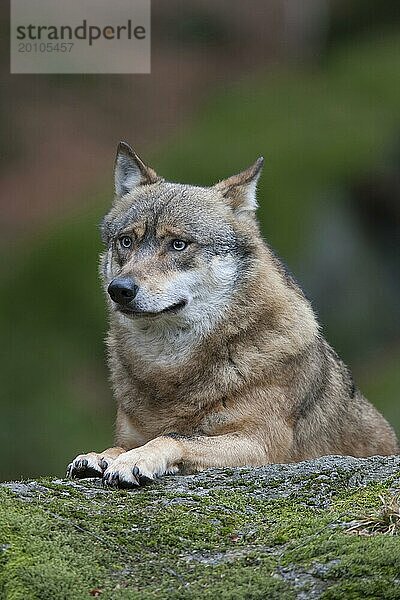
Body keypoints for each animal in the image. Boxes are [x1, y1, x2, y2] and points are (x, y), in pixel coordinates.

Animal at [66, 144, 396, 488]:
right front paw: (101, 456)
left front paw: (135, 460)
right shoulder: (131, 434)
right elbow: (123, 444)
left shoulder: (259, 445)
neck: (168, 367)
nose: (119, 289)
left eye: (178, 244)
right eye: (126, 241)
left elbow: (174, 437)